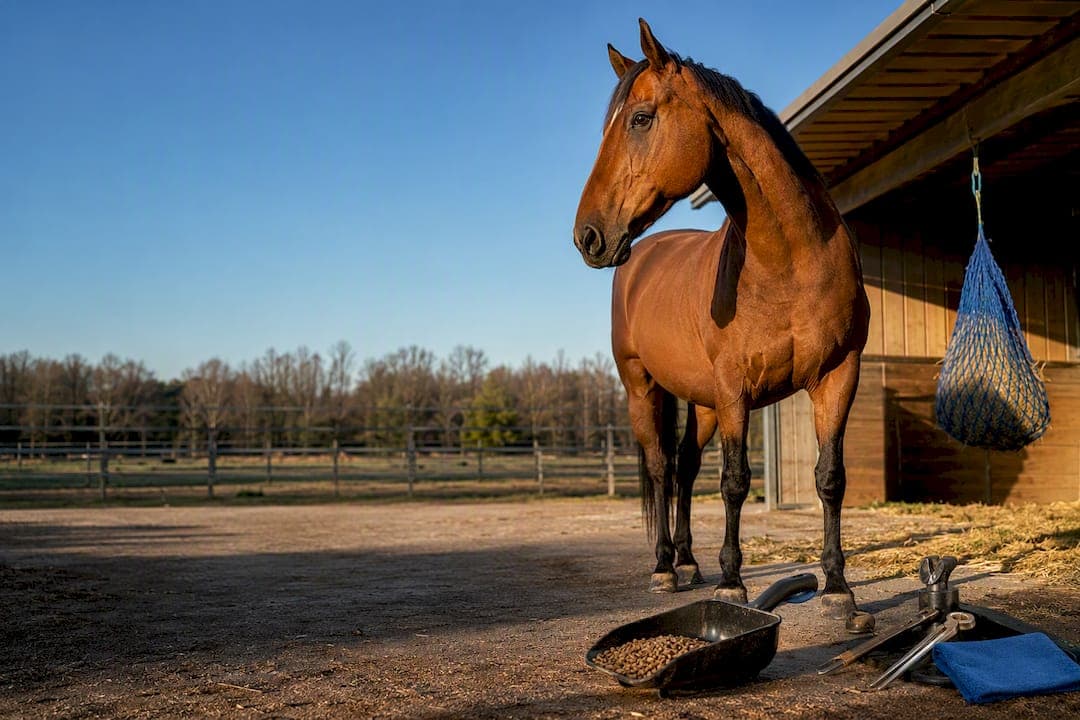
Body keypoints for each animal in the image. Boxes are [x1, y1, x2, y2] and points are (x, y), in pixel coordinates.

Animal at [572, 19, 870, 620]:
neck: (791, 263)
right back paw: (665, 568)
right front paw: (733, 583)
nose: (586, 235)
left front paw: (837, 588)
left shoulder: (837, 377)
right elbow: (735, 482)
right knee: (661, 468)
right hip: (642, 387)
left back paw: (689, 562)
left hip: (701, 402)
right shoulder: (737, 390)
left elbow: (830, 478)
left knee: (685, 466)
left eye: (641, 118)